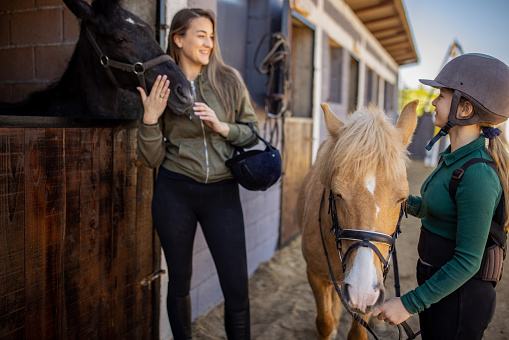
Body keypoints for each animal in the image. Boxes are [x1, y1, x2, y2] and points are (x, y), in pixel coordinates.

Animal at [298, 99, 416, 338]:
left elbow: (358, 333)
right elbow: (324, 322)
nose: (361, 291)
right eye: (337, 194)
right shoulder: (315, 276)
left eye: (402, 198)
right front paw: (332, 325)